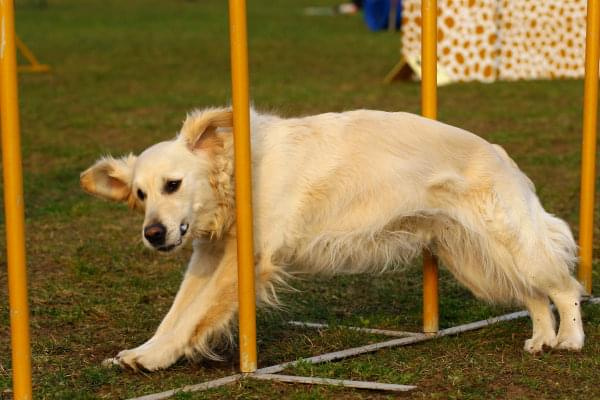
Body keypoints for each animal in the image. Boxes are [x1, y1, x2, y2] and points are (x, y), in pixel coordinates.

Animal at [81, 108, 584, 370]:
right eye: (140, 194)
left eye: (173, 185)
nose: (153, 234)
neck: (236, 173)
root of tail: (500, 153)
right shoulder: (210, 256)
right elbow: (176, 314)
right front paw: (144, 352)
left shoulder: (247, 259)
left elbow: (192, 319)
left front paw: (156, 358)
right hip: (479, 261)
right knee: (534, 296)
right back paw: (541, 340)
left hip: (509, 245)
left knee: (564, 288)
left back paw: (570, 341)